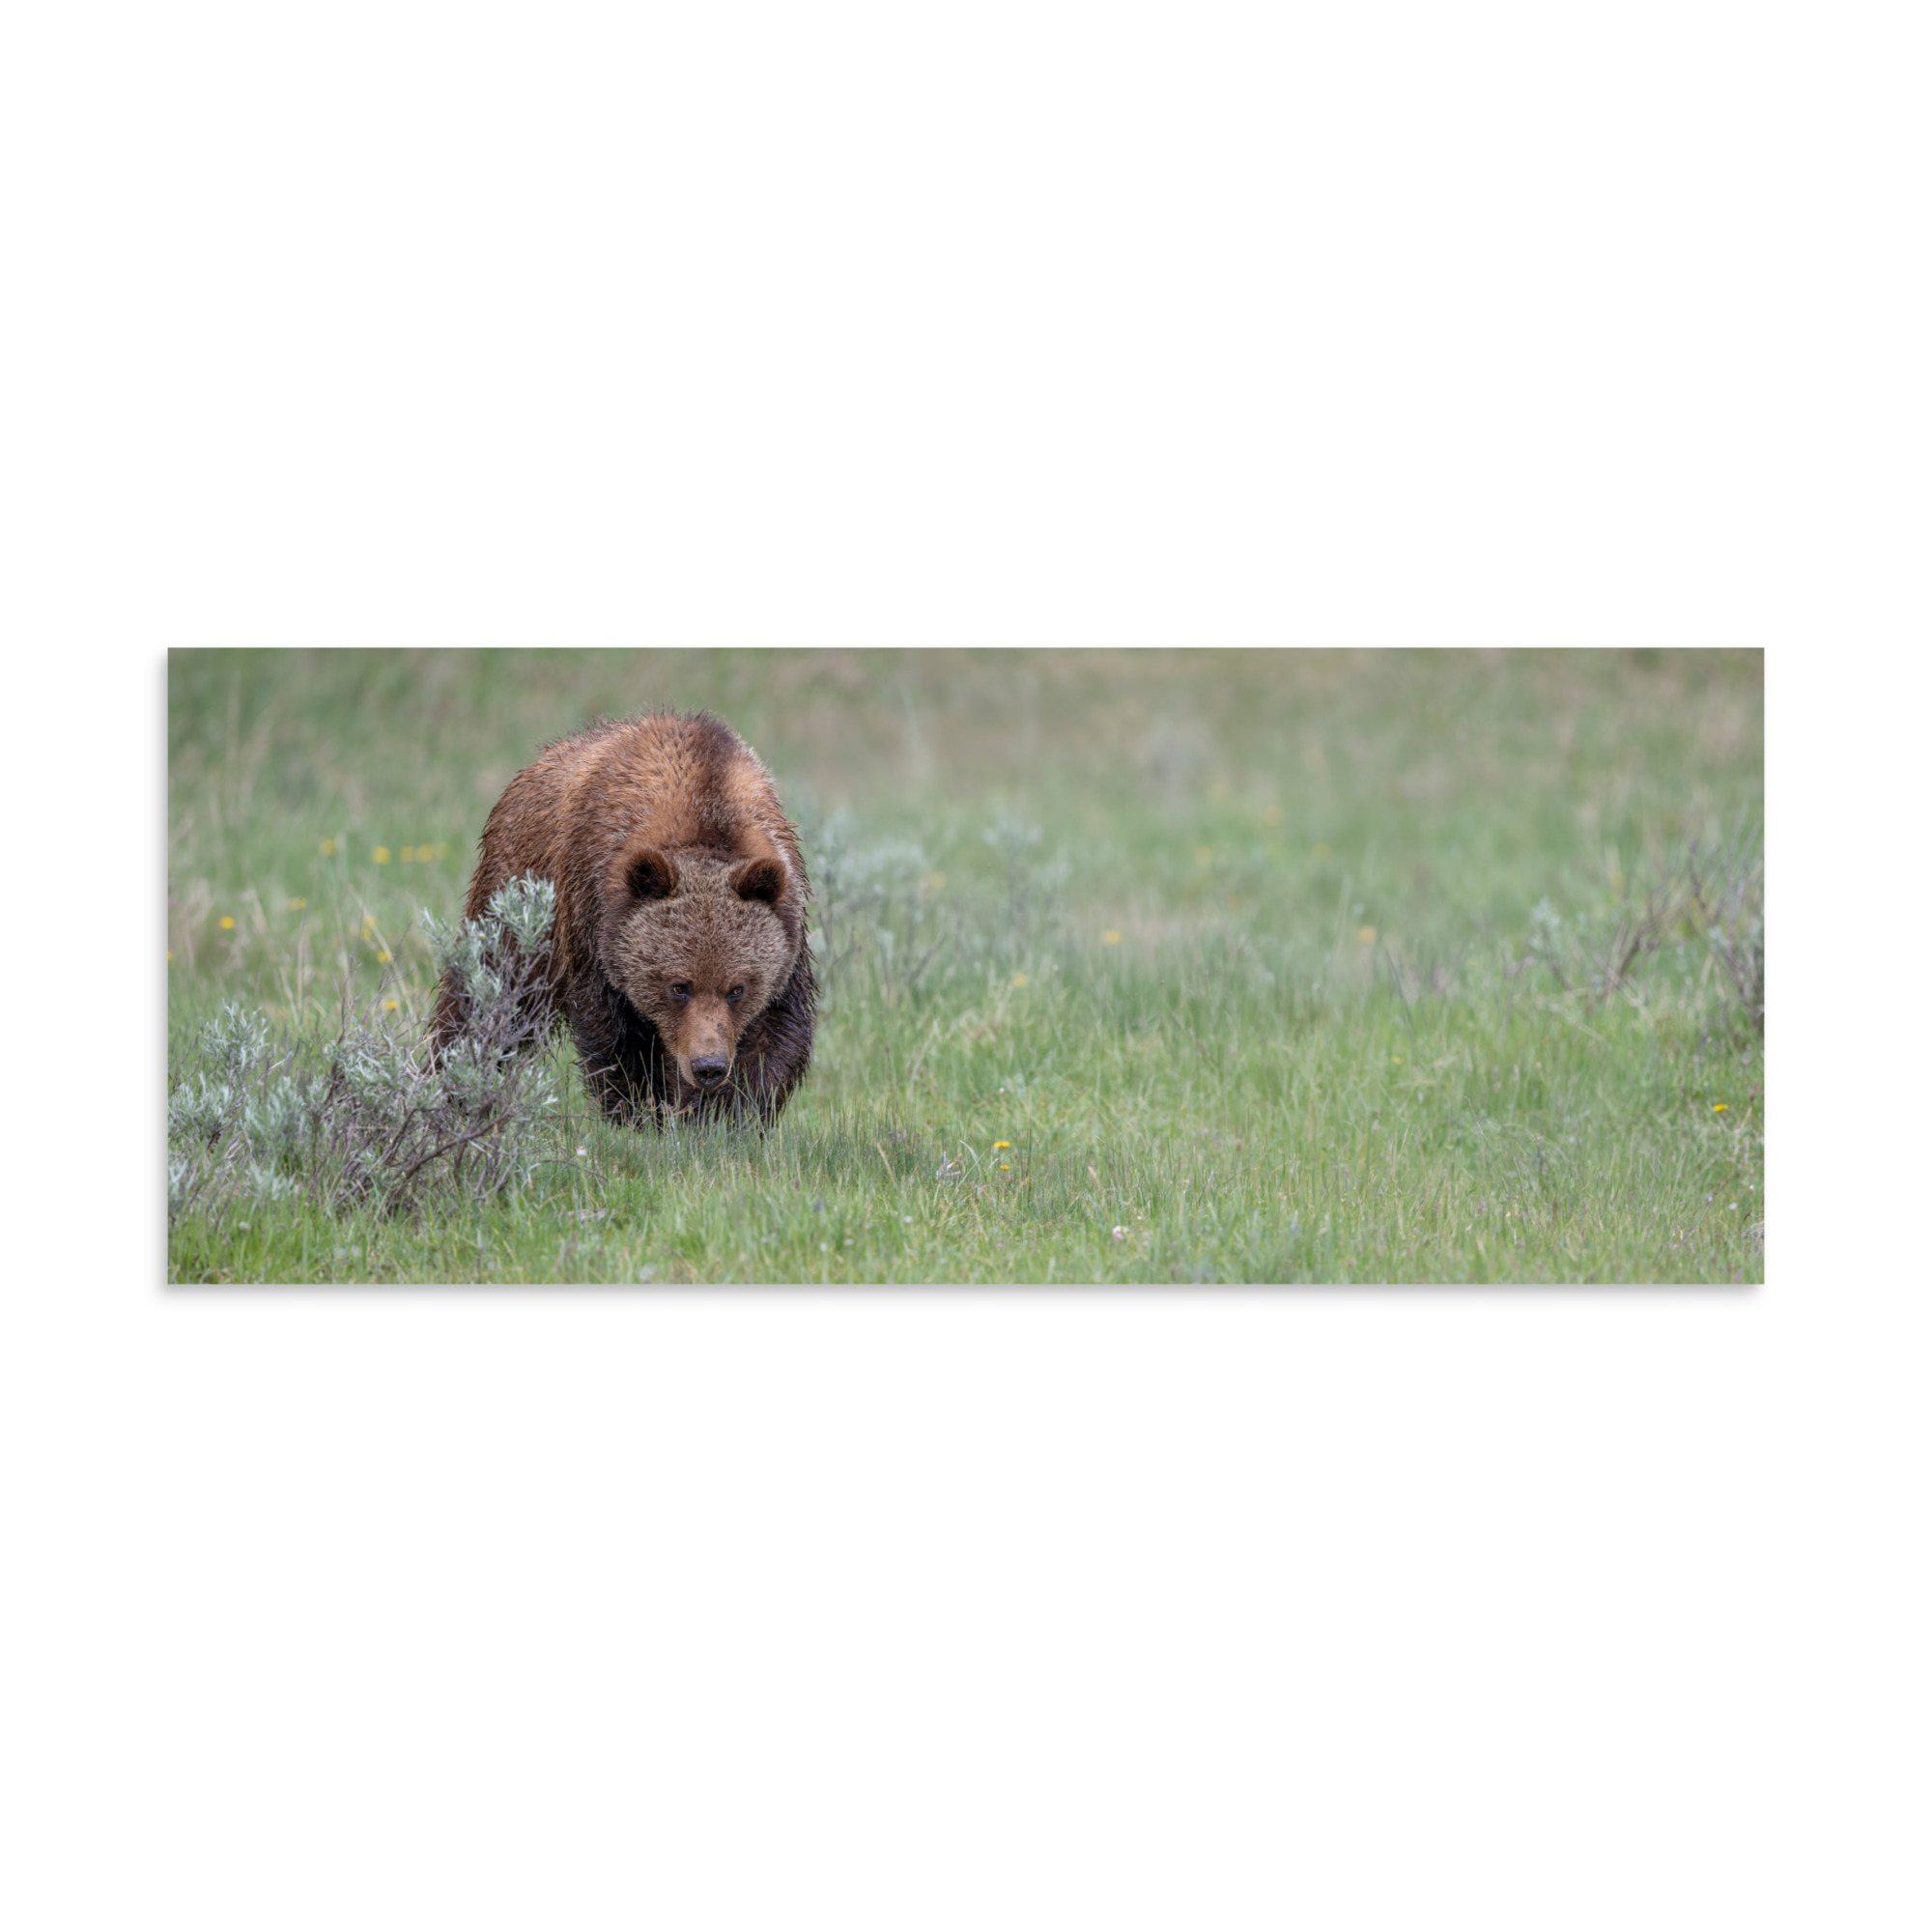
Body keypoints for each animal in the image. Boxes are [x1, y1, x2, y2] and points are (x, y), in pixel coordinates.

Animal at [430, 709, 816, 1125]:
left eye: (737, 989)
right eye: (679, 986)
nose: (708, 1066)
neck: (706, 812)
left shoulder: (787, 931)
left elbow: (774, 1035)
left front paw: (723, 1116)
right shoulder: (593, 918)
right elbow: (616, 1037)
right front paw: (639, 1113)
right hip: (517, 897)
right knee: (489, 994)